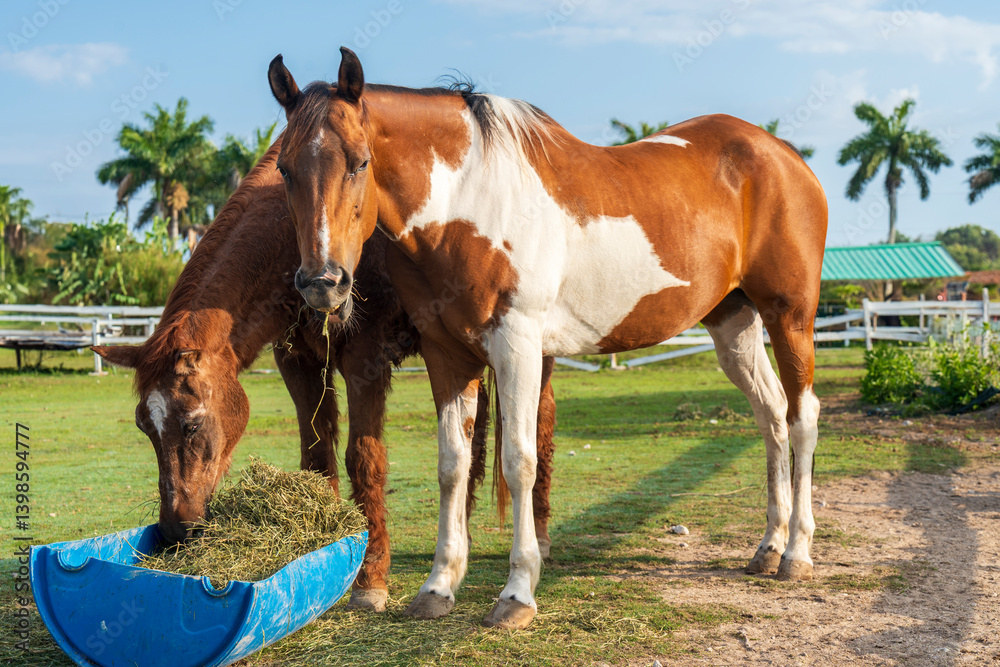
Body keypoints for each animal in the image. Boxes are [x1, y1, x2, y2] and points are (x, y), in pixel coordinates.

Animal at [92, 138, 558, 612]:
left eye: (190, 424)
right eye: (144, 427)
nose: (175, 530)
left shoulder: (365, 359)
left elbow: (364, 460)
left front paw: (370, 577)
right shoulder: (296, 362)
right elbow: (317, 457)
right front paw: (321, 559)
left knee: (539, 427)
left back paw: (538, 539)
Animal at [267, 47, 828, 629]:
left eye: (359, 162)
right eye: (285, 168)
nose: (322, 282)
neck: (471, 201)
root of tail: (782, 155)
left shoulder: (517, 346)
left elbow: (519, 462)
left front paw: (516, 594)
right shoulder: (448, 354)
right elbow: (452, 466)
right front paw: (438, 587)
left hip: (790, 317)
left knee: (801, 417)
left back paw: (796, 554)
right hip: (734, 323)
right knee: (770, 415)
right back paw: (768, 547)